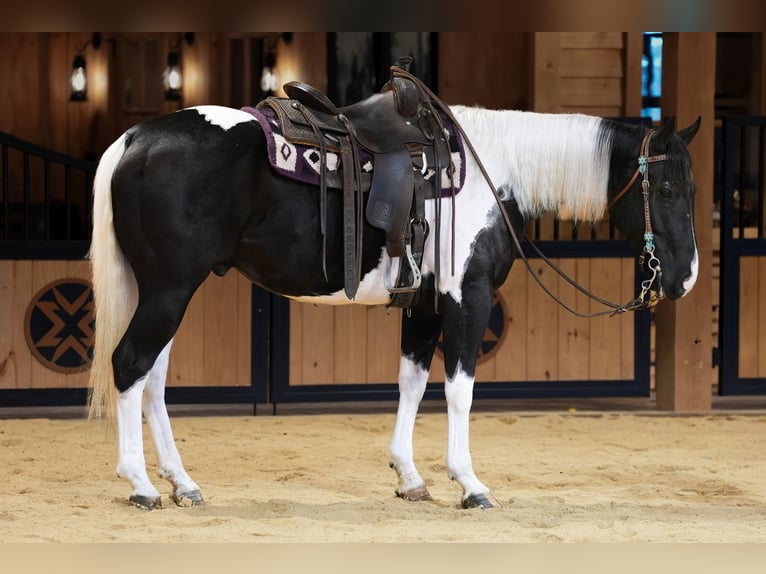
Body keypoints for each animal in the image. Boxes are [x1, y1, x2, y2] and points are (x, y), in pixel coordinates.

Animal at [87, 71, 701, 510]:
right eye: (666, 189)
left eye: (692, 188)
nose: (687, 277)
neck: (492, 170)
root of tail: (134, 139)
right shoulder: (467, 298)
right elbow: (459, 390)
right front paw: (470, 484)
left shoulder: (424, 305)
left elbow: (411, 383)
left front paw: (409, 477)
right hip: (170, 289)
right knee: (130, 364)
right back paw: (141, 484)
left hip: (166, 290)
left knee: (153, 380)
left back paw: (182, 483)